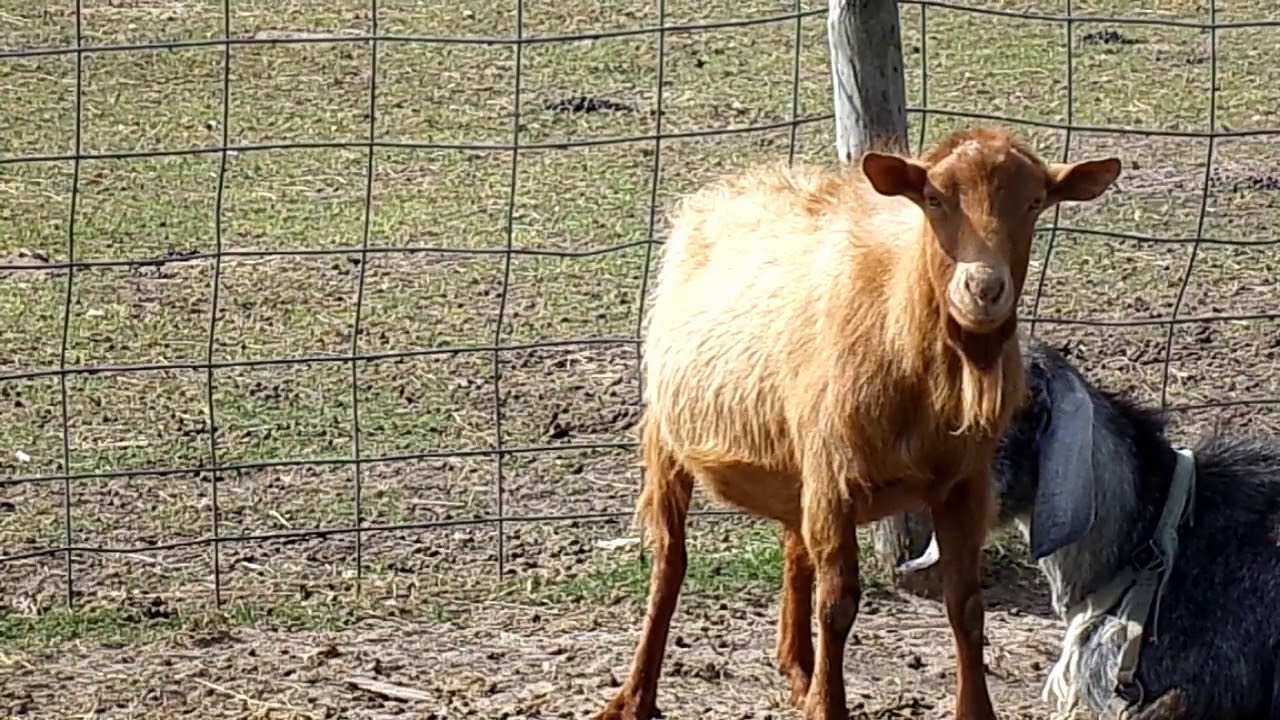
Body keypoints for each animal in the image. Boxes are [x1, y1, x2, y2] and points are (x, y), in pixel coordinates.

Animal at [594, 126, 1122, 720]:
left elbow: (966, 604)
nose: (983, 289)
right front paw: (829, 706)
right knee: (670, 562)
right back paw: (635, 696)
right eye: (934, 199)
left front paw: (973, 709)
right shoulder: (834, 476)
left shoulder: (965, 481)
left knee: (793, 548)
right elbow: (838, 605)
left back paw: (798, 669)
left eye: (1035, 203)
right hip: (668, 439)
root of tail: (739, 181)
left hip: (795, 461)